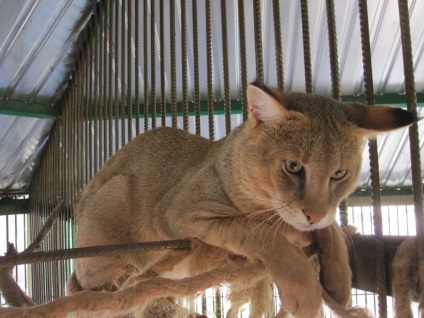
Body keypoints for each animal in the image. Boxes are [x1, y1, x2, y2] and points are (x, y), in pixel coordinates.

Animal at [0, 82, 416, 318]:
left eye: (339, 175)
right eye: (294, 166)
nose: (311, 214)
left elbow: (328, 229)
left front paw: (339, 280)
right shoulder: (182, 213)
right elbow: (262, 232)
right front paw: (302, 289)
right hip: (114, 195)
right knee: (92, 280)